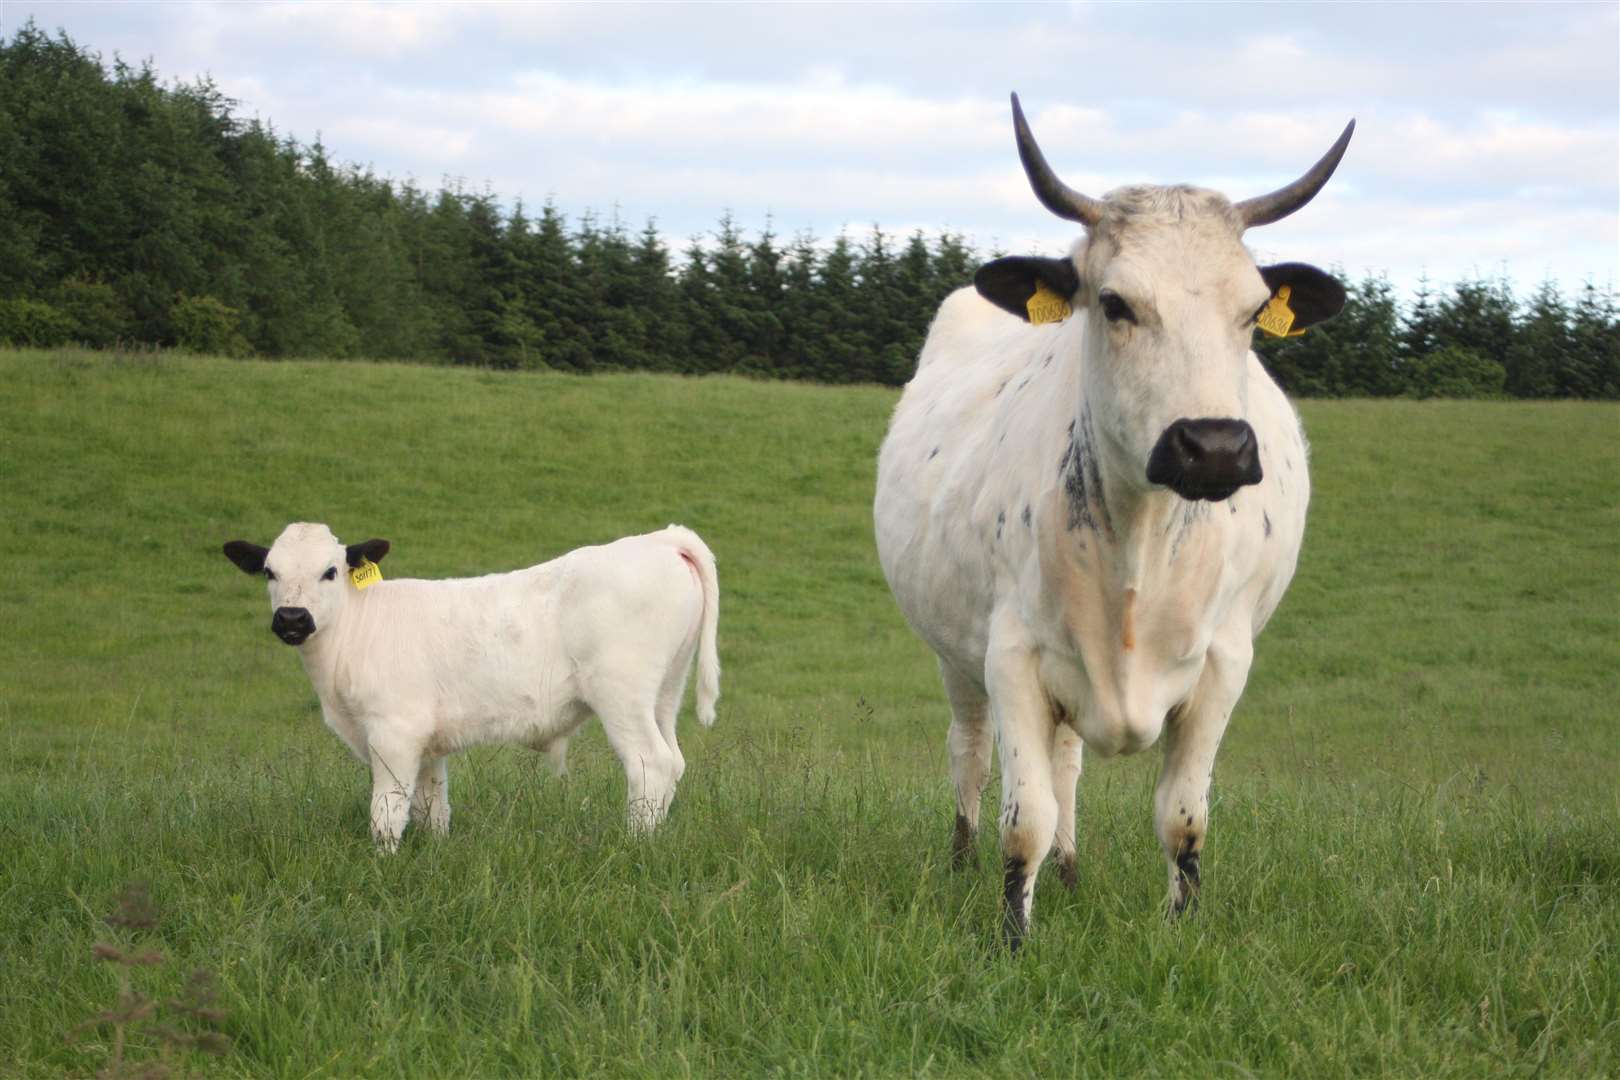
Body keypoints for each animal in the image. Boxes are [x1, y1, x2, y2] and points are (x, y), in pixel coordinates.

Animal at [223, 518, 722, 848]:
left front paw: (382, 864)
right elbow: (431, 807)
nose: (292, 618)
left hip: (621, 694)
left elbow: (386, 811)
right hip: (664, 691)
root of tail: (661, 539)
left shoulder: (393, 732)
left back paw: (636, 845)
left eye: (330, 571)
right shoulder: (425, 743)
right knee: (673, 761)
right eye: (269, 572)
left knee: (650, 764)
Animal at [881, 95, 1347, 945]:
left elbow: (1183, 816)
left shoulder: (1225, 663)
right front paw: (1012, 938)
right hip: (955, 654)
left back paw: (1069, 869)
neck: (1142, 540)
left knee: (1067, 763)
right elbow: (1022, 816)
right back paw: (963, 859)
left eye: (1252, 311)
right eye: (1116, 303)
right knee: (969, 753)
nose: (1214, 446)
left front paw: (1181, 928)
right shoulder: (1009, 655)